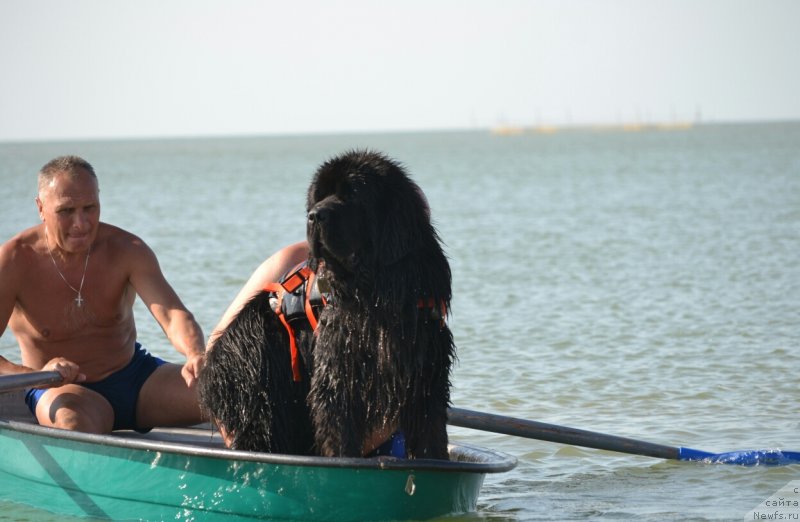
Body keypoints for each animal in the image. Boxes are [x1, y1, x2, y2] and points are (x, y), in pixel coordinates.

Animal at [200, 148, 456, 458]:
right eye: (318, 197)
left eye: (353, 193)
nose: (314, 215)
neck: (374, 293)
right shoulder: (337, 370)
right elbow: (339, 431)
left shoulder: (425, 371)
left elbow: (431, 435)